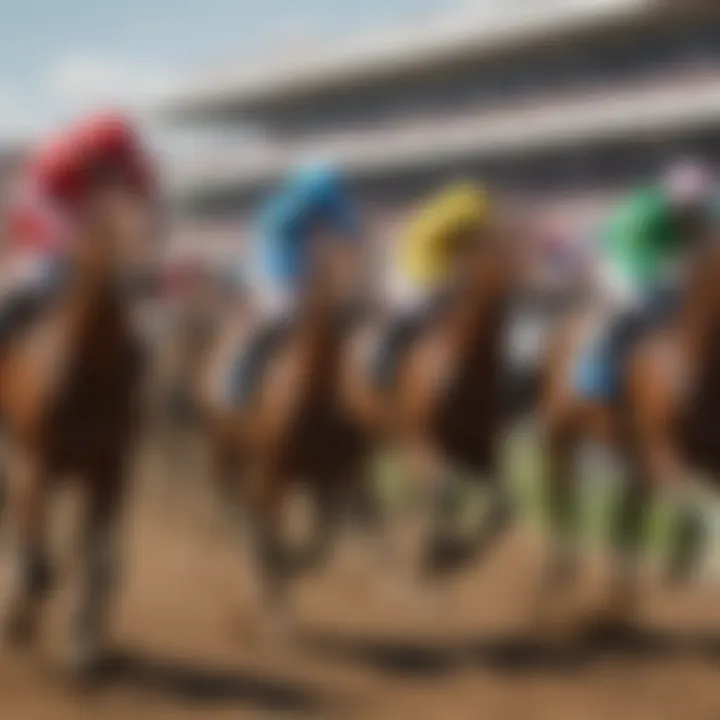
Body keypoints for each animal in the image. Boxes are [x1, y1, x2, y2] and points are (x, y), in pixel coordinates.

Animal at [0, 188, 155, 676]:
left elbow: (97, 560)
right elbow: (37, 559)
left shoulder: (109, 469)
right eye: (110, 229)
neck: (90, 371)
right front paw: (19, 615)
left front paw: (82, 647)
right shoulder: (41, 460)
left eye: (154, 223)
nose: (145, 280)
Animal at [346, 214, 524, 584]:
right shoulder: (427, 442)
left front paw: (456, 547)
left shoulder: (478, 444)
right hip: (363, 433)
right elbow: (444, 494)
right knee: (365, 489)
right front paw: (434, 554)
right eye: (528, 247)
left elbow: (502, 504)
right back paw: (383, 550)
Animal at [540, 239, 720, 628]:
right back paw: (562, 567)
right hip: (561, 426)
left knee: (626, 510)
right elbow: (695, 505)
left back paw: (620, 594)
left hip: (623, 445)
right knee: (561, 485)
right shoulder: (662, 450)